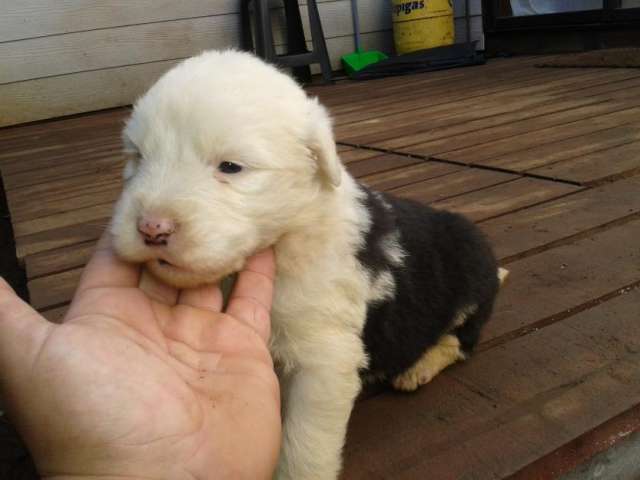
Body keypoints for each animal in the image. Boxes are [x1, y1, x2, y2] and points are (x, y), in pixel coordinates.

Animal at [110, 50, 508, 478]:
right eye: (138, 157)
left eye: (230, 166)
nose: (152, 228)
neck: (289, 235)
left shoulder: (322, 360)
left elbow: (304, 447)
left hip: (469, 273)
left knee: (462, 341)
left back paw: (419, 365)